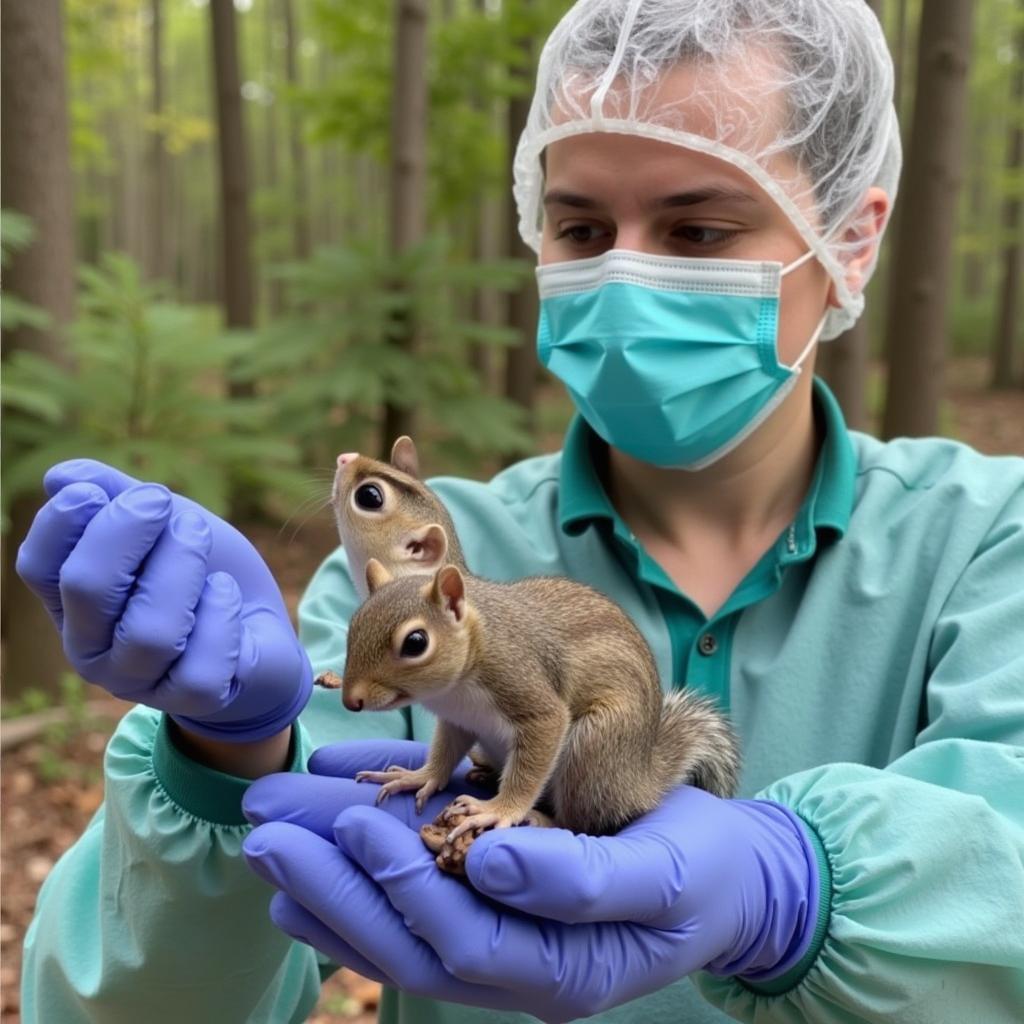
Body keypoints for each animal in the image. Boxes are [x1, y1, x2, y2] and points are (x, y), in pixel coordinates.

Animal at [317, 440, 737, 864]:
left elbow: (542, 737)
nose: (351, 700)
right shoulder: (459, 718)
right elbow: (444, 753)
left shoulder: (520, 682)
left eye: (415, 643)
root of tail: (639, 781)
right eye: (354, 624)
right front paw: (419, 776)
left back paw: (541, 818)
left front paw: (499, 810)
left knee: (582, 821)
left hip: (593, 749)